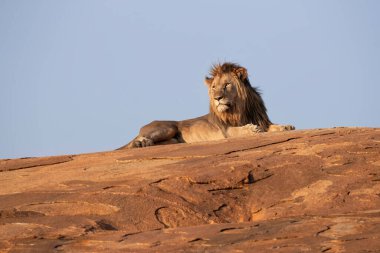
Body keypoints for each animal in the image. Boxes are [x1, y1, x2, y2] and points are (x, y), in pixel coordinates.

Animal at [119, 62, 294, 149]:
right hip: (167, 127)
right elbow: (239, 130)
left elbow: (272, 126)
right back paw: (142, 143)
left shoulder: (261, 120)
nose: (217, 98)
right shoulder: (225, 131)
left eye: (227, 85)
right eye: (214, 87)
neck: (240, 109)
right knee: (134, 143)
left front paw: (286, 127)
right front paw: (251, 129)